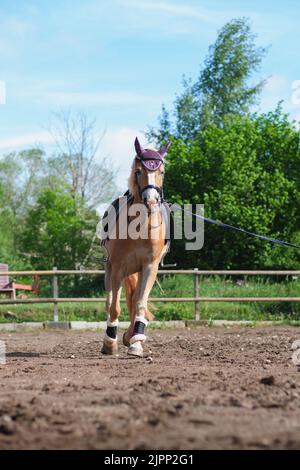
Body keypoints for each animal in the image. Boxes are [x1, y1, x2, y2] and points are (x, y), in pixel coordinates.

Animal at [101, 138, 171, 358]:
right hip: (111, 270)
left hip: (138, 271)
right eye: (139, 171)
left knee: (135, 298)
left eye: (162, 171)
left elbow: (140, 303)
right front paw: (110, 343)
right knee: (110, 301)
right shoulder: (118, 267)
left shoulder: (149, 267)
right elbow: (114, 307)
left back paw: (131, 335)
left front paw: (136, 343)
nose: (151, 200)